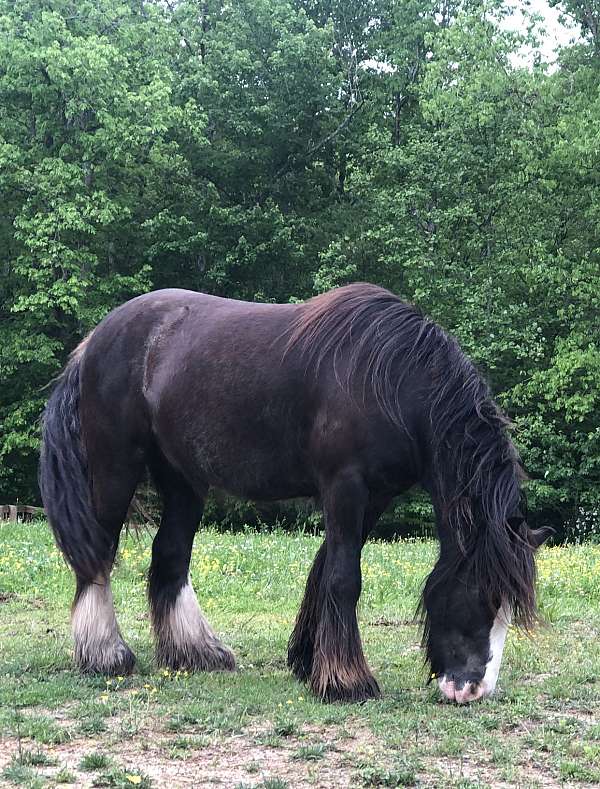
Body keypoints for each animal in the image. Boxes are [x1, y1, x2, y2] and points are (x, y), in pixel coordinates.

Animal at [39, 284, 552, 700]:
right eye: (484, 596)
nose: (473, 689)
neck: (390, 379)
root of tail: (94, 341)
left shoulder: (374, 496)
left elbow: (324, 571)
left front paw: (310, 662)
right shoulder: (345, 486)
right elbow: (344, 578)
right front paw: (347, 681)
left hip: (182, 480)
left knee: (170, 556)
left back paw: (196, 652)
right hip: (115, 468)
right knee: (99, 554)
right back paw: (106, 654)